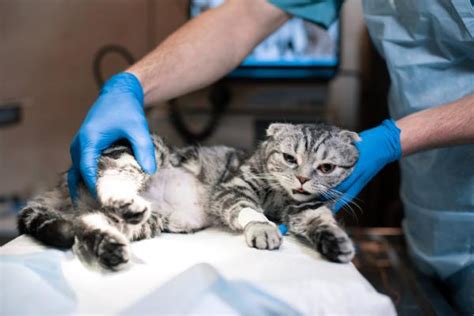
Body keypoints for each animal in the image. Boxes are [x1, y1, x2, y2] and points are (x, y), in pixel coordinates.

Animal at [17, 122, 360, 270]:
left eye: (326, 167)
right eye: (289, 158)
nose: (302, 179)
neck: (281, 196)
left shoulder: (308, 208)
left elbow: (321, 220)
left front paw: (336, 242)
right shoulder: (232, 188)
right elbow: (249, 209)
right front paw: (263, 227)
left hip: (143, 221)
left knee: (87, 223)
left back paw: (110, 248)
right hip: (143, 151)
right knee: (112, 178)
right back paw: (124, 201)